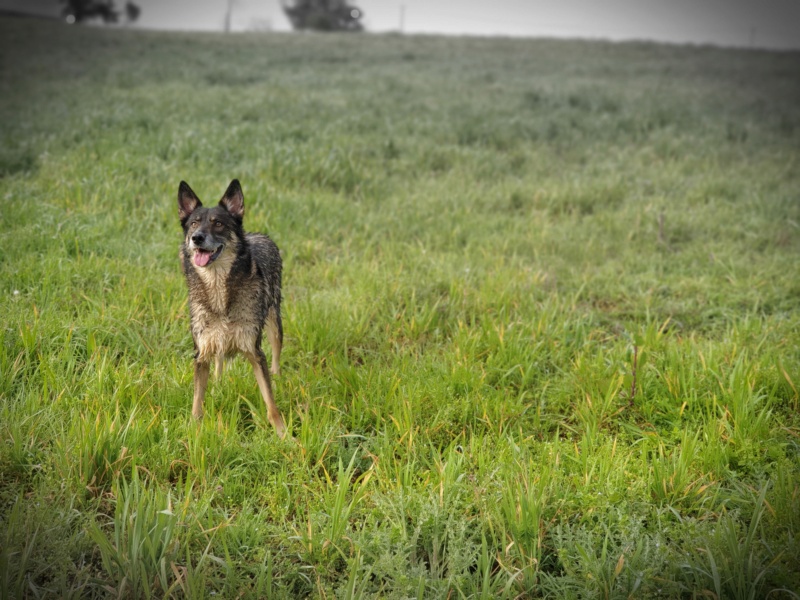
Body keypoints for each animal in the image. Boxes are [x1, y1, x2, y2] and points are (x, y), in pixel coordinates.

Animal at [178, 178, 288, 436]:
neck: (219, 290)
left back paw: (278, 377)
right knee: (219, 362)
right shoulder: (201, 352)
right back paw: (218, 384)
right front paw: (194, 429)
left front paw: (283, 434)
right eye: (194, 223)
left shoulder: (255, 351)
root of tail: (259, 235)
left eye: (218, 223)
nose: (196, 237)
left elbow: (270, 402)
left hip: (274, 323)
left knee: (276, 356)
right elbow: (197, 402)